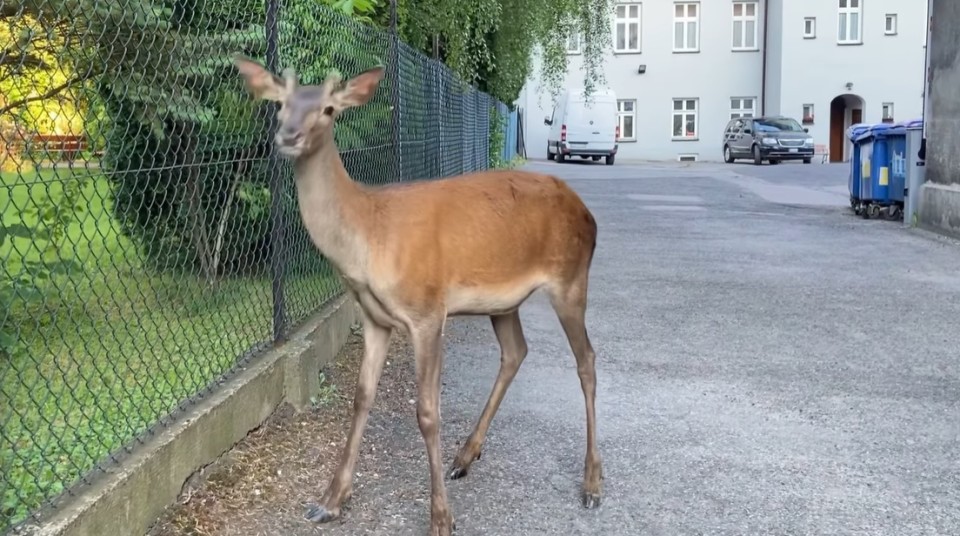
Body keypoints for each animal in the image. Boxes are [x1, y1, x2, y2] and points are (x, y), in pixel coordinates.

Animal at [232, 55, 600, 536]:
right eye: (280, 105)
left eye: (329, 109)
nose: (288, 136)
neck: (368, 237)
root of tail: (589, 215)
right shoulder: (375, 318)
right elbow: (361, 398)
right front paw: (329, 501)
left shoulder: (427, 311)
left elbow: (427, 412)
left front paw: (441, 518)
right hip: (504, 301)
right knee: (516, 351)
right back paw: (466, 456)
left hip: (571, 279)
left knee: (587, 361)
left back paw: (592, 483)